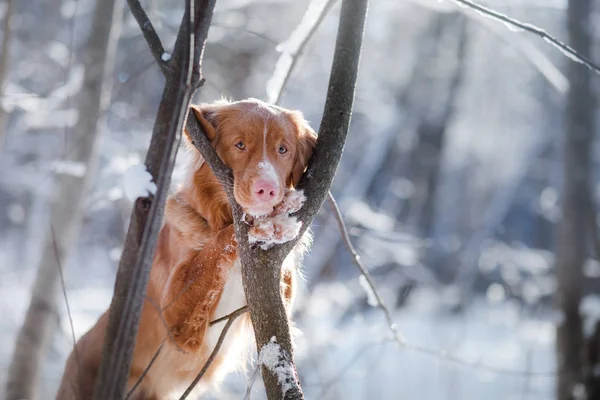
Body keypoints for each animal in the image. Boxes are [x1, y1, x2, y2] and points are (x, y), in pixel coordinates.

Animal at [56, 97, 318, 400]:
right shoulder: (173, 317)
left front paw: (284, 212)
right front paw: (260, 224)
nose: (268, 189)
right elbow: (216, 248)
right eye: (240, 145)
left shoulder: (272, 300)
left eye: (283, 149)